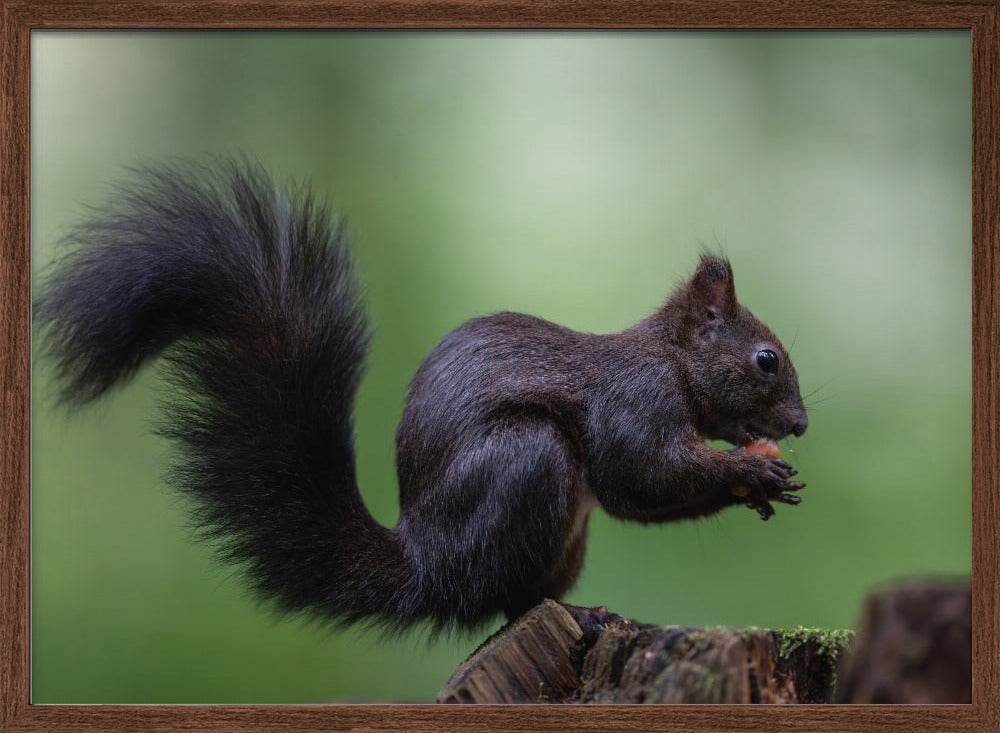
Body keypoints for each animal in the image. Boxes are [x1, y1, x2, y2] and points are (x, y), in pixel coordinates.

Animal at [36, 158, 808, 633]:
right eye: (766, 359)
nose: (799, 425)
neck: (669, 360)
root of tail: (426, 563)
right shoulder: (635, 400)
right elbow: (640, 474)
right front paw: (751, 469)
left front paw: (759, 482)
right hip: (527, 464)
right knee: (504, 598)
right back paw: (581, 616)